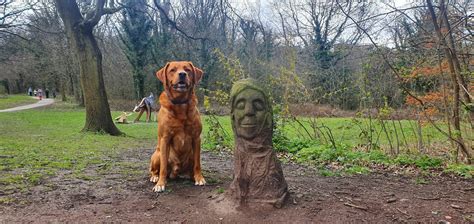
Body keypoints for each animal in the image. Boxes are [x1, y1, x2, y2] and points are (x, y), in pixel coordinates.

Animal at [150, 61, 206, 192]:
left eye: (187, 69)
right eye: (173, 70)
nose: (182, 74)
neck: (180, 104)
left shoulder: (196, 138)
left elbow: (198, 163)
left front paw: (199, 178)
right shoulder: (165, 138)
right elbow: (163, 167)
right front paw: (160, 184)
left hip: (190, 155)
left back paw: (192, 176)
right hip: (157, 154)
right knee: (154, 169)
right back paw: (155, 177)